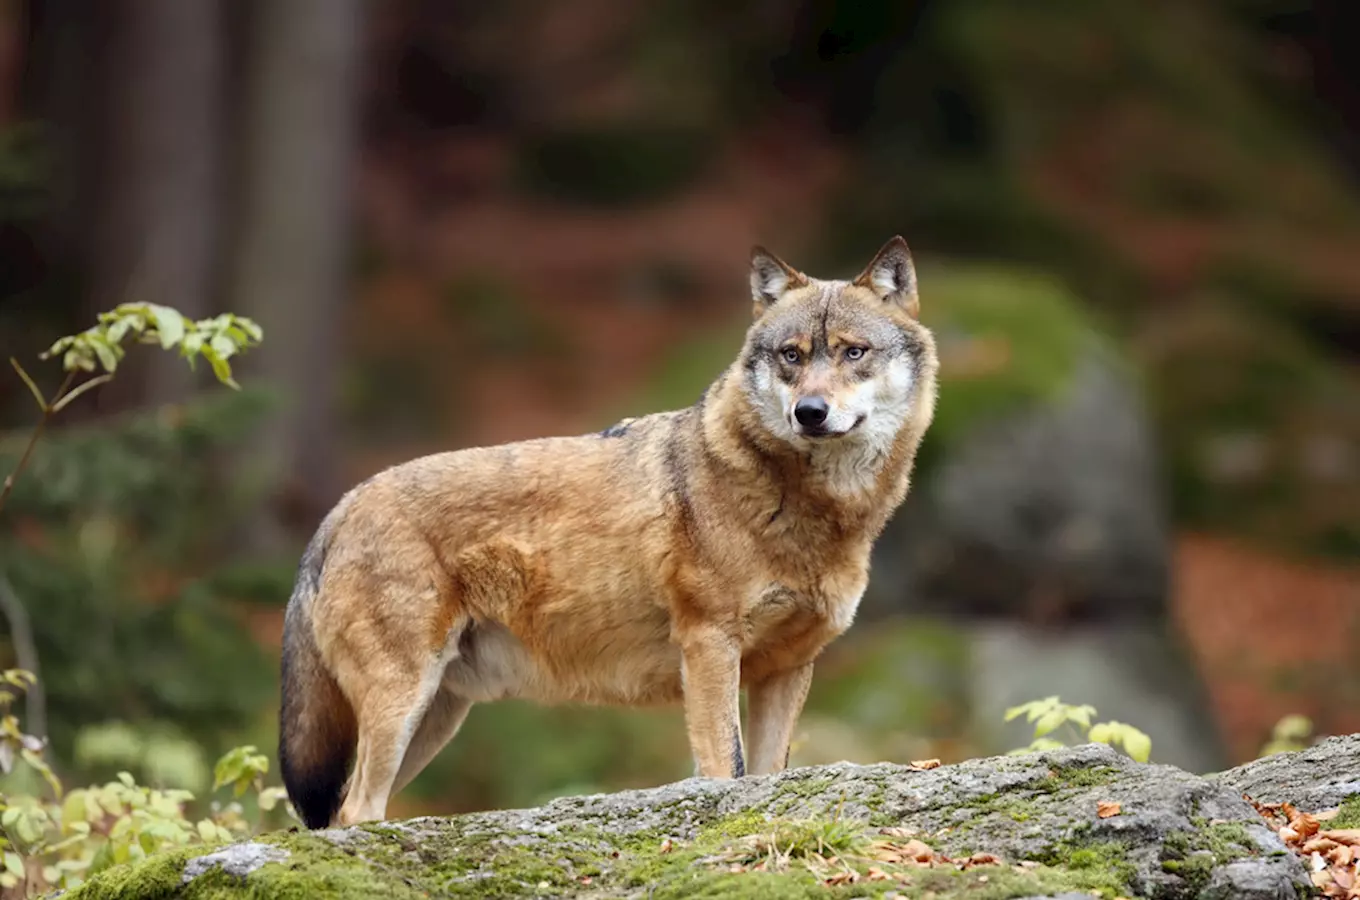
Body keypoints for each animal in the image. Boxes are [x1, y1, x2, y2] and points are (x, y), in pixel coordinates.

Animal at [276, 236, 935, 826]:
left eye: (853, 353)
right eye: (792, 356)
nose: (810, 413)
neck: (812, 507)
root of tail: (340, 508)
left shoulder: (787, 668)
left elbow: (769, 775)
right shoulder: (709, 646)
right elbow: (726, 769)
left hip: (434, 718)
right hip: (403, 707)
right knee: (353, 811)